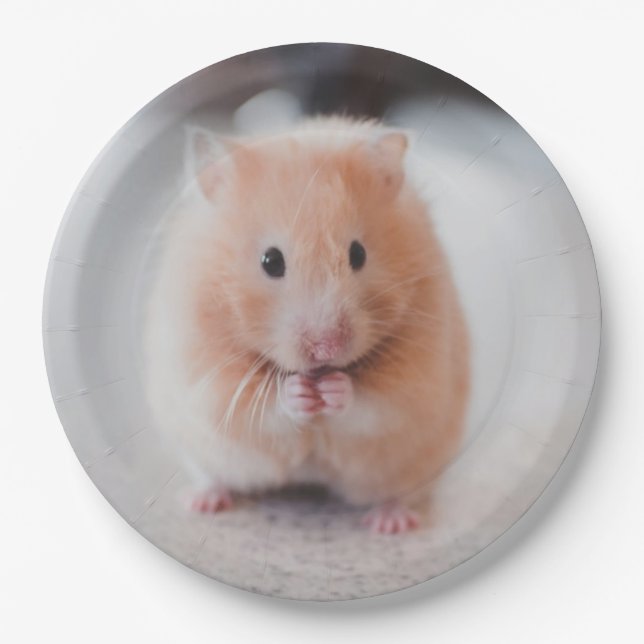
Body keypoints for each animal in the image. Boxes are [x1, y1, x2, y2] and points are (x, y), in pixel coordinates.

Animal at [143, 116, 469, 534]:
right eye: (270, 261)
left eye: (358, 254)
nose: (326, 349)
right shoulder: (206, 376)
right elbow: (261, 407)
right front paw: (299, 392)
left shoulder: (417, 376)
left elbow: (375, 404)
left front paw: (333, 389)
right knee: (214, 476)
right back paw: (201, 502)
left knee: (401, 492)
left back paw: (390, 524)